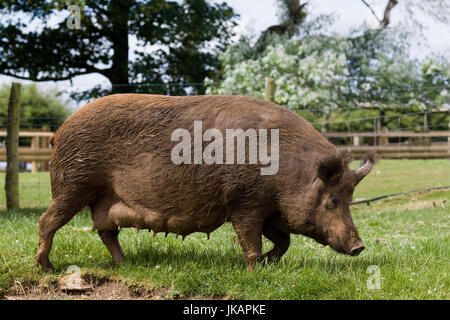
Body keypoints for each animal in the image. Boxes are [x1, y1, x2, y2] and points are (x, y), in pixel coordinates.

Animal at [34, 94, 372, 272]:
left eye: (351, 198)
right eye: (332, 200)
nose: (359, 246)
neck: (286, 173)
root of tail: (58, 131)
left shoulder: (271, 211)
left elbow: (284, 241)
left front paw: (268, 263)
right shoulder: (244, 201)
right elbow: (250, 238)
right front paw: (254, 270)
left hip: (102, 198)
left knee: (106, 232)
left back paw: (124, 264)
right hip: (73, 184)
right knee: (46, 221)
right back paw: (47, 267)